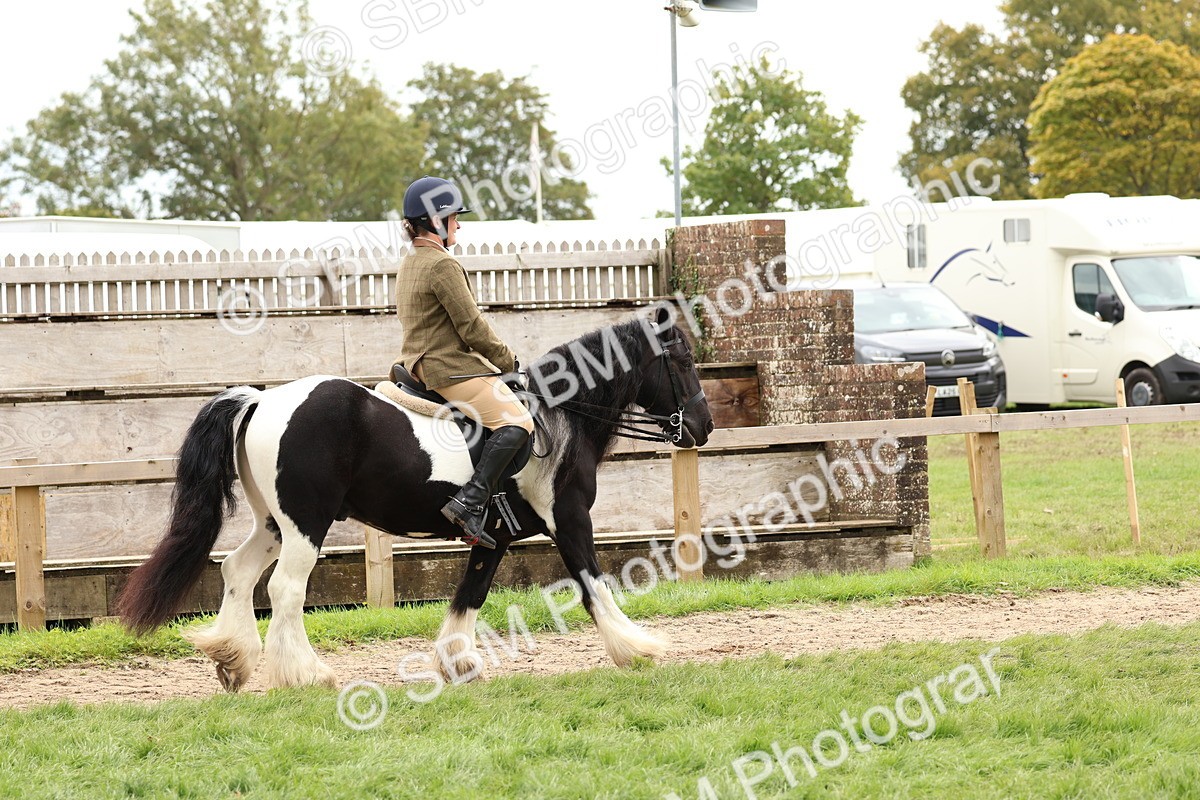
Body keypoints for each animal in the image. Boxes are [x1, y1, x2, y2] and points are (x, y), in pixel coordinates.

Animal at [117, 306, 714, 690]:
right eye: (683, 361)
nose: (704, 427)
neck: (560, 415)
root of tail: (262, 400)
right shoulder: (569, 521)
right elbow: (594, 584)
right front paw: (637, 648)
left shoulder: (492, 536)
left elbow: (471, 594)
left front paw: (457, 664)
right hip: (307, 522)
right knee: (286, 588)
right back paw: (306, 674)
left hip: (274, 522)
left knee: (238, 571)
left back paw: (233, 660)